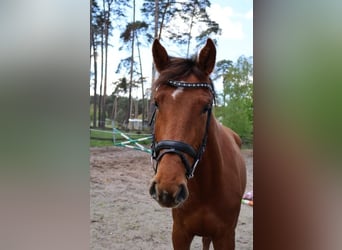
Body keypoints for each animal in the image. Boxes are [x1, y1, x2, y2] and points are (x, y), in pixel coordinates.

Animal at [150, 38, 246, 249]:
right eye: (157, 103)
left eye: (206, 106)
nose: (168, 187)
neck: (205, 189)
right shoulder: (179, 234)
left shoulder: (226, 236)